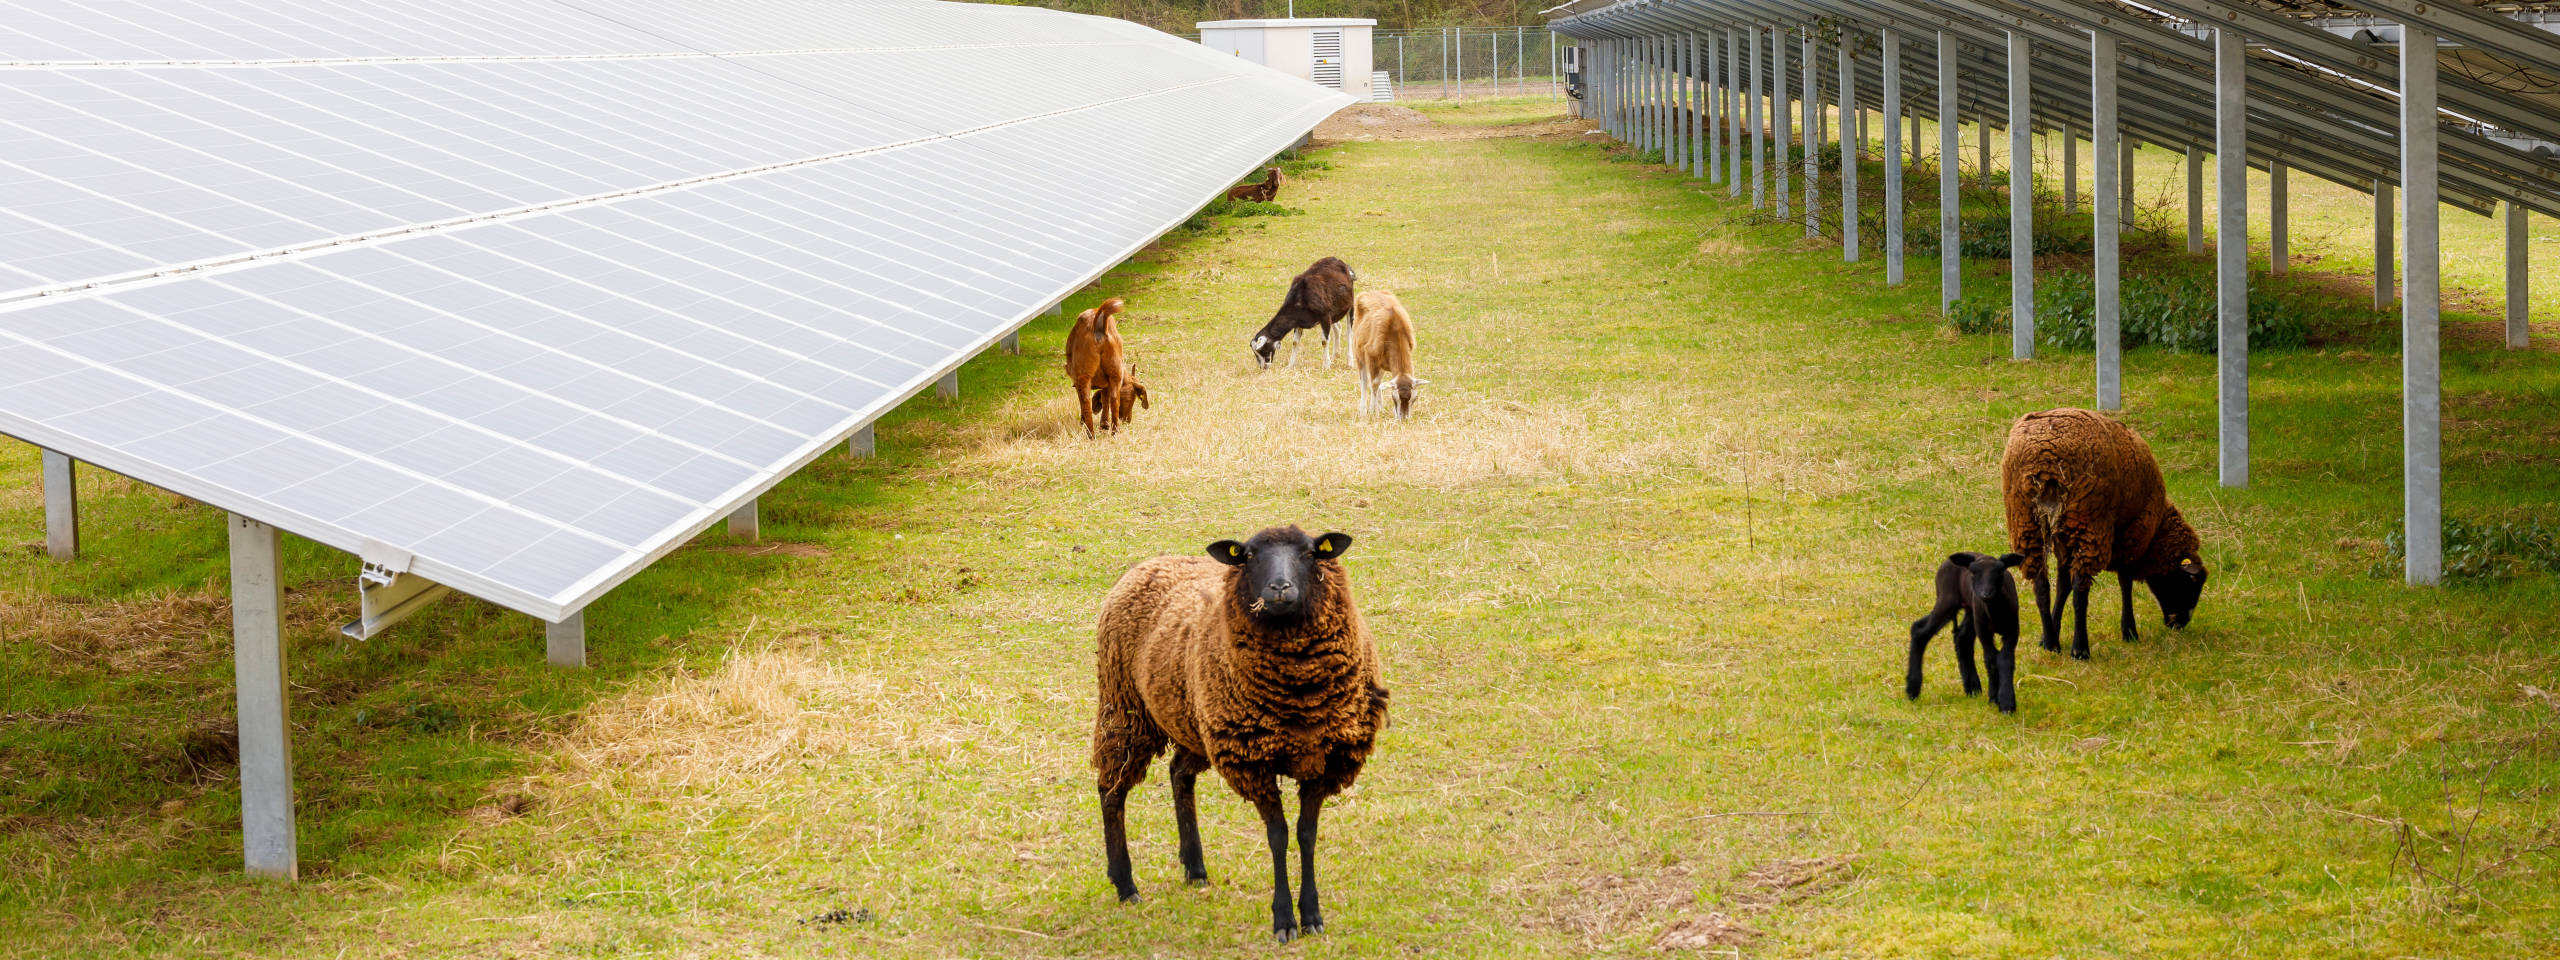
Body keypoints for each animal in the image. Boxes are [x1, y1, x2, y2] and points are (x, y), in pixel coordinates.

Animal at [1065, 298, 1129, 438]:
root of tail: (1098, 327)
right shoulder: (1107, 382)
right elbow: (1105, 399)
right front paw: (1104, 424)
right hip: (1116, 372)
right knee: (1114, 399)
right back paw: (1115, 431)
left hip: (1084, 375)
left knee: (1085, 401)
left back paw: (1091, 434)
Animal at [1092, 526, 1388, 942]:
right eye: (1248, 556)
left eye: (1309, 552)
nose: (1279, 587)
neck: (1299, 696)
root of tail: (1149, 564)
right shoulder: (1254, 763)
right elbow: (1279, 835)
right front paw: (1284, 920)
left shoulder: (1326, 759)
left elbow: (1307, 834)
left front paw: (1312, 915)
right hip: (1124, 706)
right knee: (1112, 789)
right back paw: (1125, 884)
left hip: (1195, 722)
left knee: (1179, 774)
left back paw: (1195, 869)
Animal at [1350, 291, 1425, 420]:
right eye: (1395, 397)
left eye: (1414, 398)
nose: (1404, 418)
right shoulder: (1371, 357)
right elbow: (1374, 384)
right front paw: (1372, 411)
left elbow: (1380, 384)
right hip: (1359, 355)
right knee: (1364, 381)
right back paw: (1363, 410)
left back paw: (1380, 408)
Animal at [1907, 551, 2026, 712]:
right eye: (1973, 573)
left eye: (2000, 571)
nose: (1986, 594)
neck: (1995, 611)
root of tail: (1945, 563)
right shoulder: (1984, 631)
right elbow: (1991, 661)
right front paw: (1995, 698)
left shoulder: (2012, 629)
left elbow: (2006, 660)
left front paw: (2007, 703)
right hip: (1948, 600)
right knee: (1920, 632)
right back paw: (1912, 689)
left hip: (1970, 609)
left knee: (1961, 638)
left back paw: (1972, 688)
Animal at [2000, 408, 2210, 660]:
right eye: (2191, 583)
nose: (2179, 624)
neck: (2157, 531)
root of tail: (2044, 459)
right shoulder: (2133, 534)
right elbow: (2125, 581)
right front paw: (2129, 631)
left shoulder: (2063, 539)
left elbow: (2062, 585)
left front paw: (2050, 633)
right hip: (2088, 519)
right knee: (2081, 589)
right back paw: (2080, 649)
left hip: (2024, 520)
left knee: (2041, 584)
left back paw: (2051, 643)